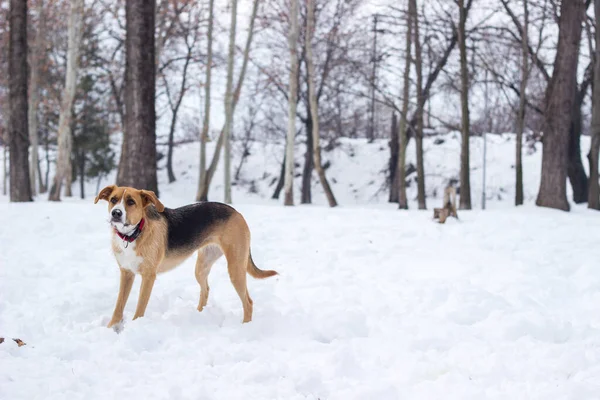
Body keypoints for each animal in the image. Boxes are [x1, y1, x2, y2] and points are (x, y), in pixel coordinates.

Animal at [95, 185, 278, 328]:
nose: (116, 213)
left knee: (248, 302)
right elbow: (118, 306)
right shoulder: (126, 273)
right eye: (113, 199)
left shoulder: (148, 277)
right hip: (202, 267)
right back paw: (199, 315)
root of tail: (236, 211)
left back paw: (245, 326)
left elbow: (140, 308)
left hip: (235, 268)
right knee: (205, 291)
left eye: (131, 202)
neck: (133, 234)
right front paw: (111, 328)